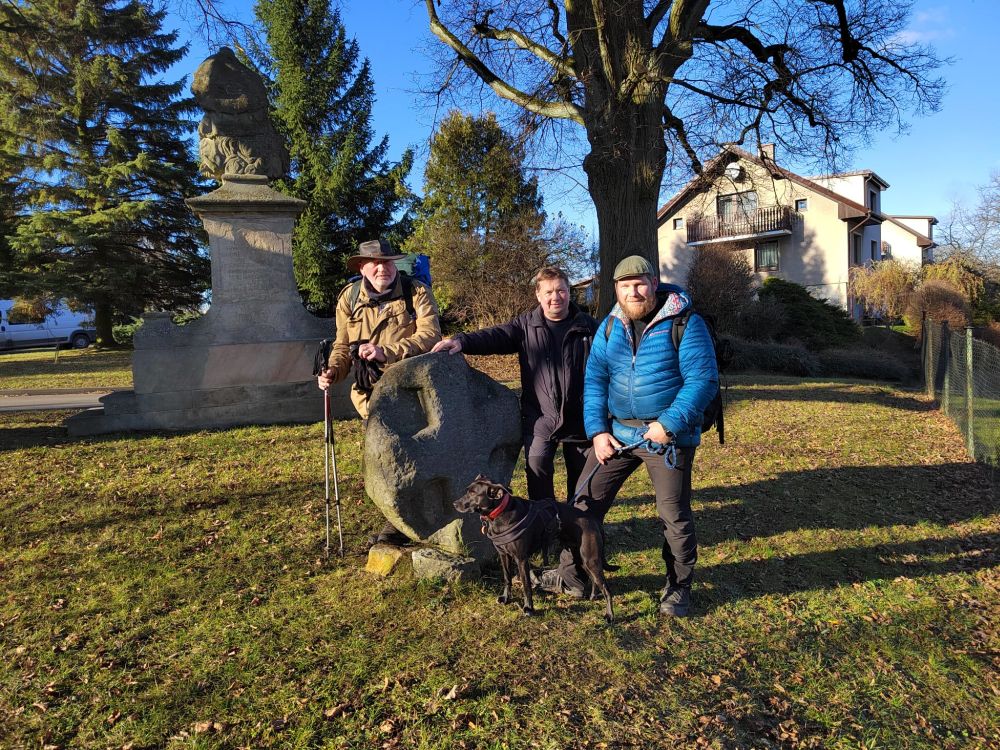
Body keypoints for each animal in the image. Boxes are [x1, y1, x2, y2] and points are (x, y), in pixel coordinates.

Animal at [454, 475, 614, 624]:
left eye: (473, 493)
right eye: (467, 490)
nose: (455, 503)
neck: (501, 513)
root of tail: (593, 520)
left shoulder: (521, 559)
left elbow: (526, 586)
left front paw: (528, 608)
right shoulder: (504, 555)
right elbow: (507, 578)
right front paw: (506, 598)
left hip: (591, 559)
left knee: (606, 588)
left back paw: (609, 615)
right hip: (582, 559)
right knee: (594, 580)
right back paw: (593, 597)